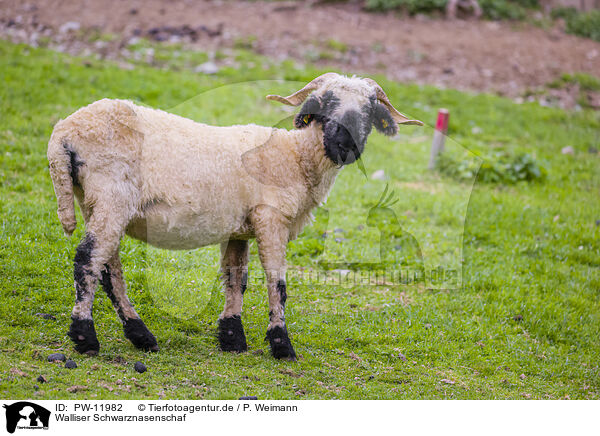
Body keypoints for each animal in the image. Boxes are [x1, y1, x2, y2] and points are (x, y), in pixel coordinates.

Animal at [48, 73, 422, 360]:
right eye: (326, 102)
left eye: (369, 110)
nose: (345, 144)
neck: (296, 157)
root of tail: (63, 134)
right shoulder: (271, 218)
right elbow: (277, 282)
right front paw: (281, 345)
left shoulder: (240, 228)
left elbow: (234, 278)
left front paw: (232, 338)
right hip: (112, 195)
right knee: (88, 260)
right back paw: (85, 337)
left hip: (95, 202)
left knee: (108, 269)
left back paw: (141, 336)